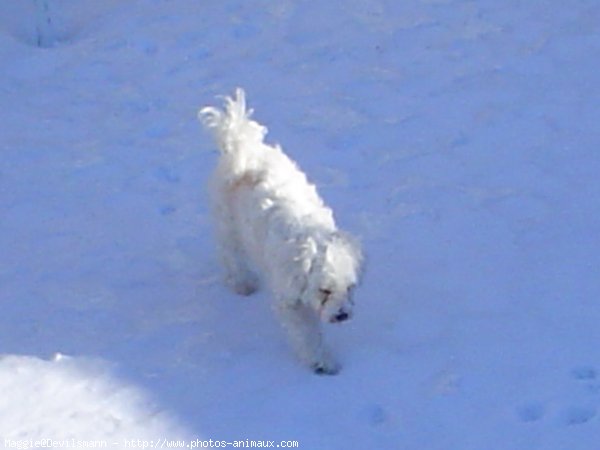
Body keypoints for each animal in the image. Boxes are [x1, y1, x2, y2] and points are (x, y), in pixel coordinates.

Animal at [199, 88, 364, 372]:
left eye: (350, 287)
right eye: (325, 290)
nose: (342, 315)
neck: (310, 245)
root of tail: (242, 145)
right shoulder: (290, 299)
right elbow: (307, 334)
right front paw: (322, 362)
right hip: (227, 224)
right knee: (231, 255)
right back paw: (242, 283)